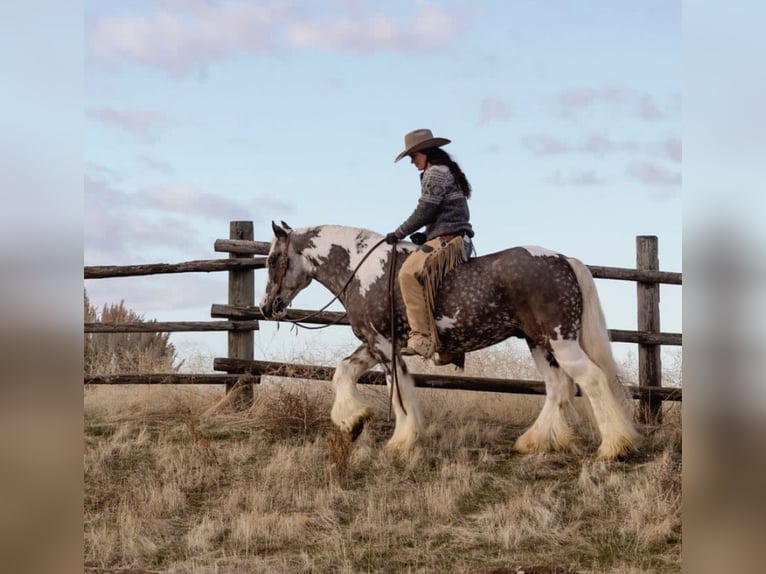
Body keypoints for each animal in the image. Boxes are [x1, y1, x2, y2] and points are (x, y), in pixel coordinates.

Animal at [260, 223, 640, 462]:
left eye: (273, 259)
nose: (266, 306)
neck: (363, 271)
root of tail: (565, 261)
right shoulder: (373, 342)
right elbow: (343, 372)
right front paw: (352, 420)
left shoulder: (383, 344)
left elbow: (397, 389)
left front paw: (401, 439)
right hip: (538, 342)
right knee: (558, 387)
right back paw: (534, 441)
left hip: (560, 340)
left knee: (591, 379)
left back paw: (613, 447)